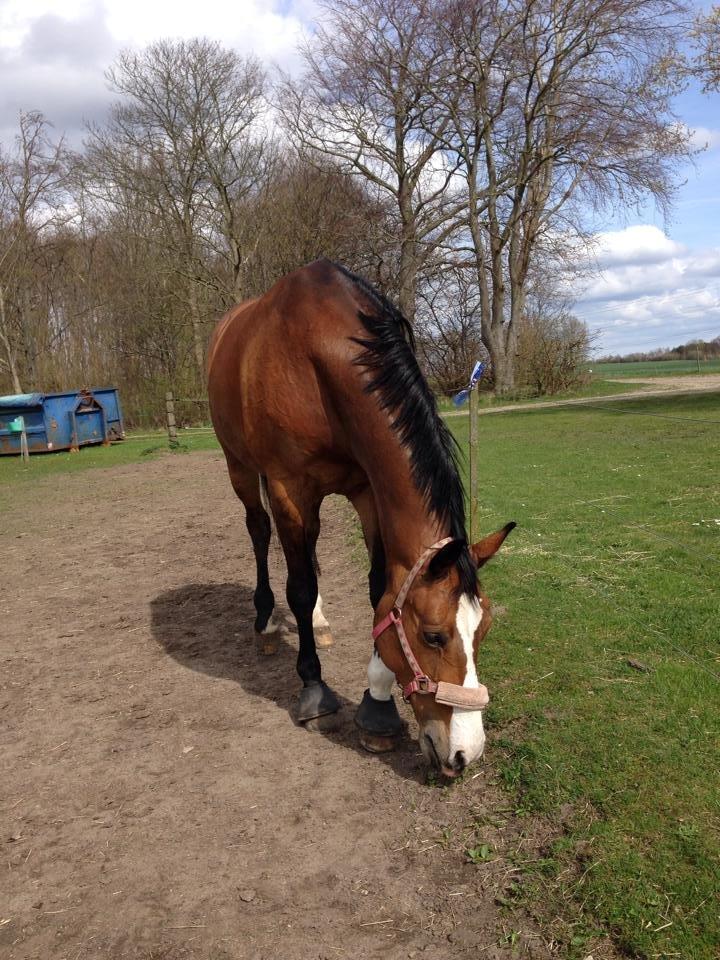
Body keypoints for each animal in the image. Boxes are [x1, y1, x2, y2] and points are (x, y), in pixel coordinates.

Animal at [205, 258, 516, 776]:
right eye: (433, 636)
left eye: (484, 630)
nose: (464, 753)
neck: (317, 358)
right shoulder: (289, 487)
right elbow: (298, 584)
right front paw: (314, 690)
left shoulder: (367, 489)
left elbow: (376, 590)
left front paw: (378, 706)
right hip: (242, 469)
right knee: (261, 533)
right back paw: (266, 621)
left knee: (308, 548)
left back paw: (318, 620)